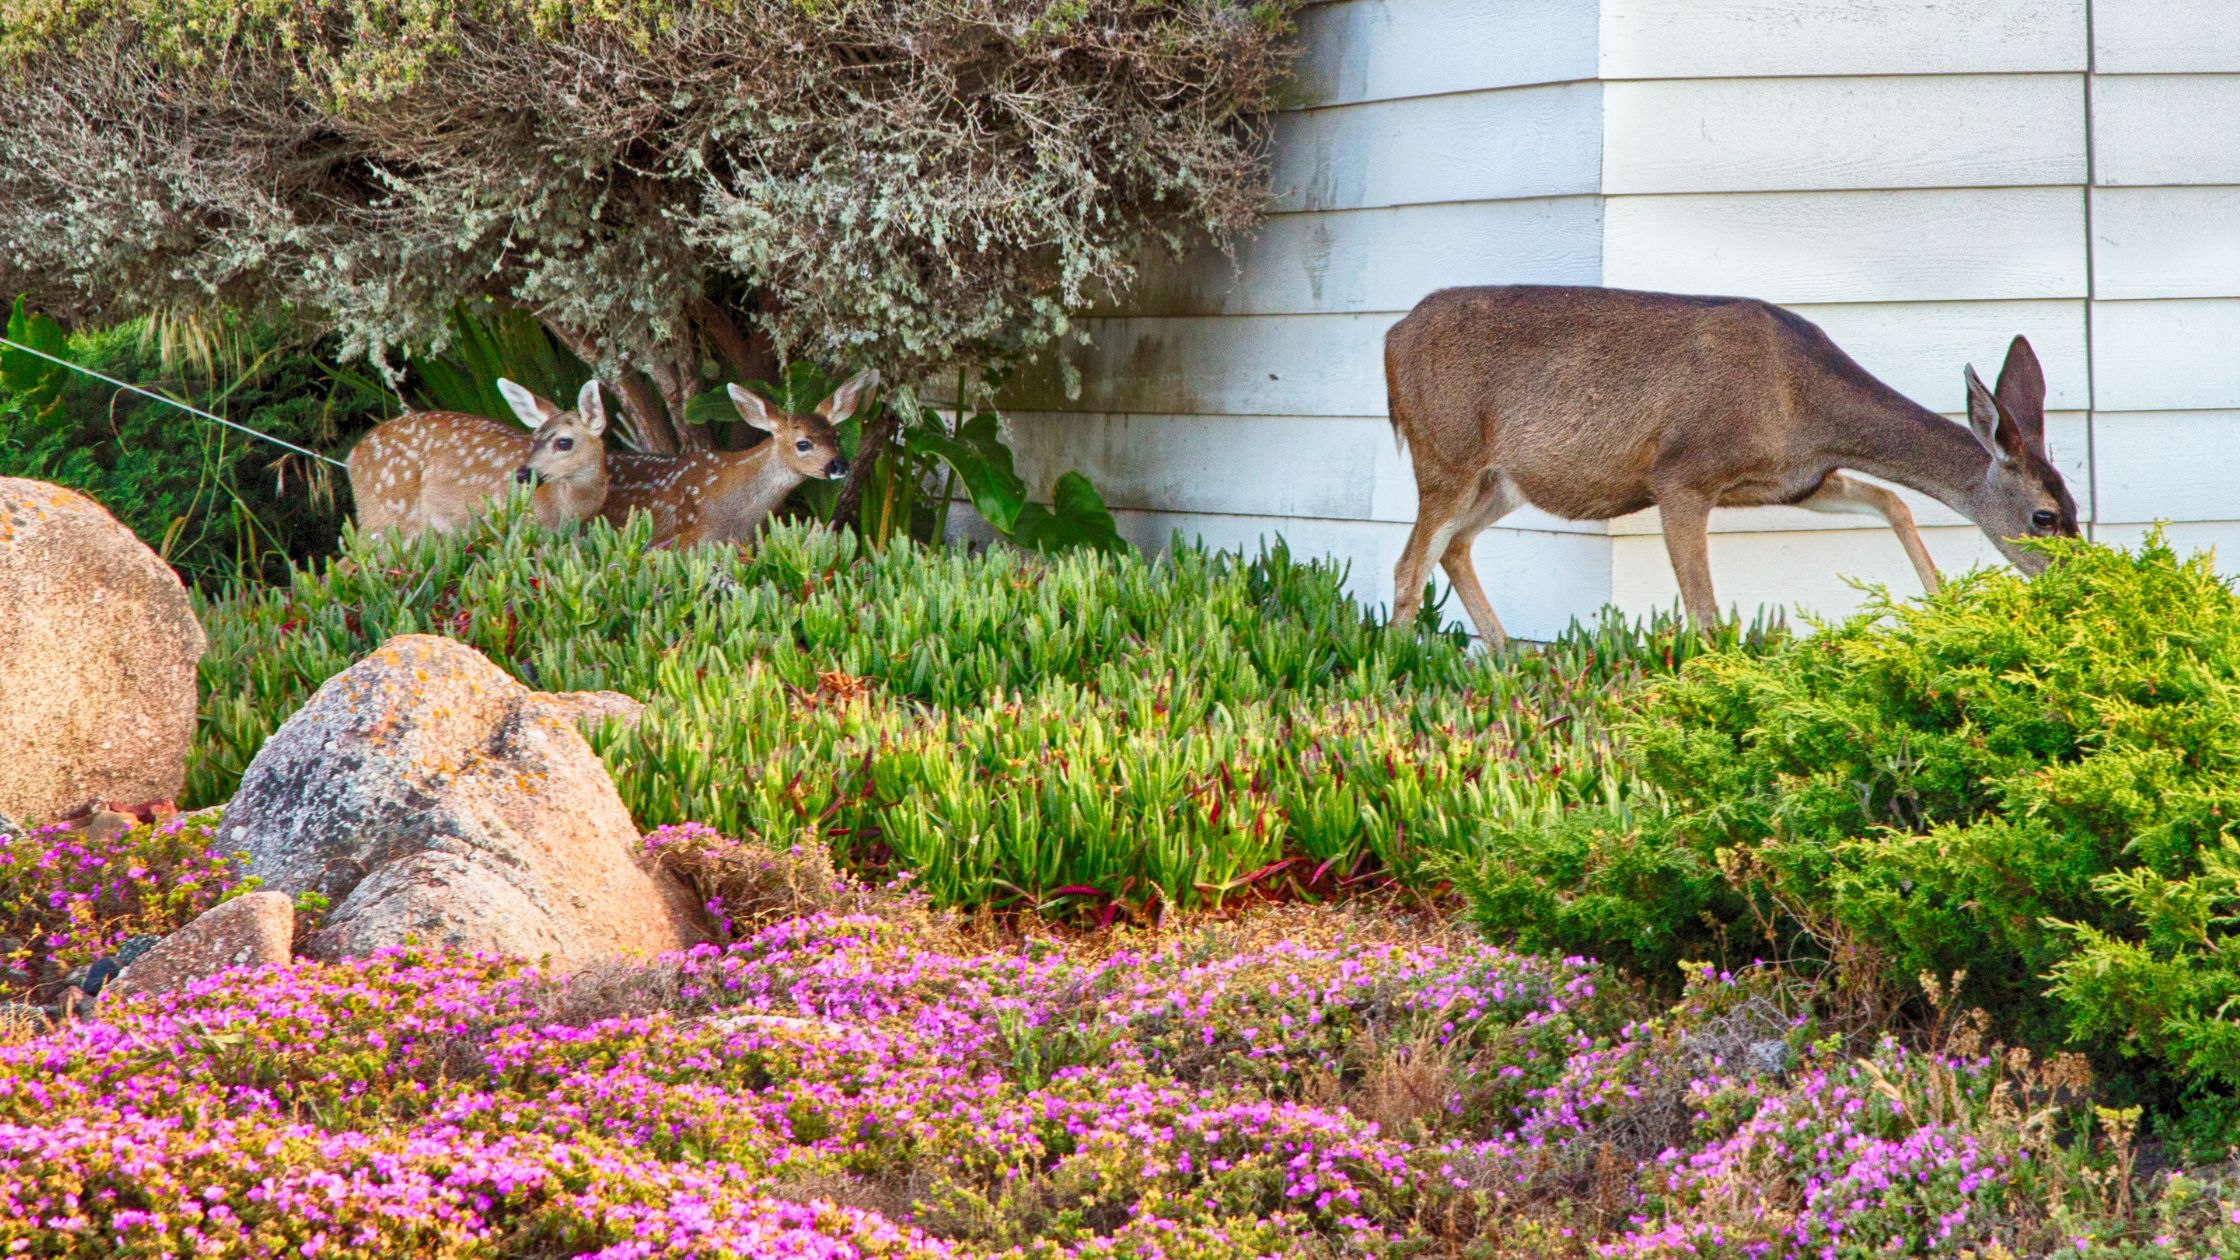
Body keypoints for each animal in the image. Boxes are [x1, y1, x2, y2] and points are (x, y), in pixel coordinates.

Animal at [1379, 289, 2078, 641]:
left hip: (1501, 480)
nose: (2080, 581)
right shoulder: (1681, 473)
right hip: (1445, 453)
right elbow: (1705, 612)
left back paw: (1506, 659)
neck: (1802, 403)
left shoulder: (1794, 482)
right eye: (2044, 517)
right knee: (1408, 564)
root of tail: (1389, 338)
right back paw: (1394, 677)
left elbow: (1893, 500)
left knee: (1453, 547)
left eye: (2076, 506)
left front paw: (1940, 604)